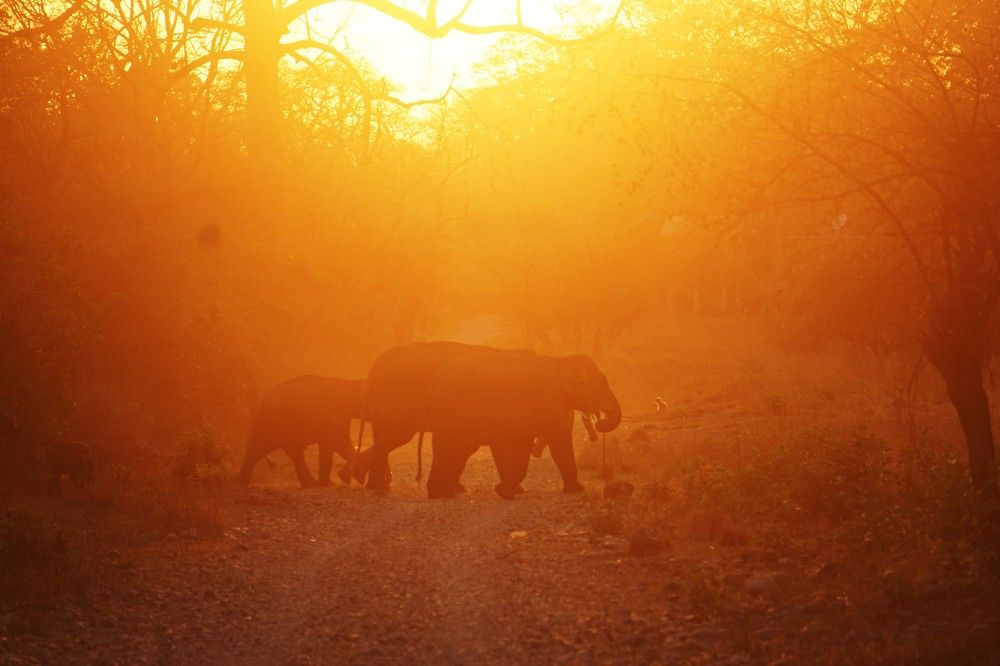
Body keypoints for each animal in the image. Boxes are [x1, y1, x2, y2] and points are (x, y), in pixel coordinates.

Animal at [356, 341, 535, 491]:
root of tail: (379, 362)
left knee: (383, 436)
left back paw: (374, 485)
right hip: (395, 396)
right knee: (396, 435)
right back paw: (362, 479)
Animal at [424, 352, 622, 499]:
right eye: (600, 386)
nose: (600, 422)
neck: (562, 360)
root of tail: (437, 379)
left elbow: (523, 446)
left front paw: (505, 491)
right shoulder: (550, 399)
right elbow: (559, 444)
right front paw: (577, 490)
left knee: (458, 449)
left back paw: (442, 492)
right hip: (452, 408)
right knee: (447, 446)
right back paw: (439, 494)